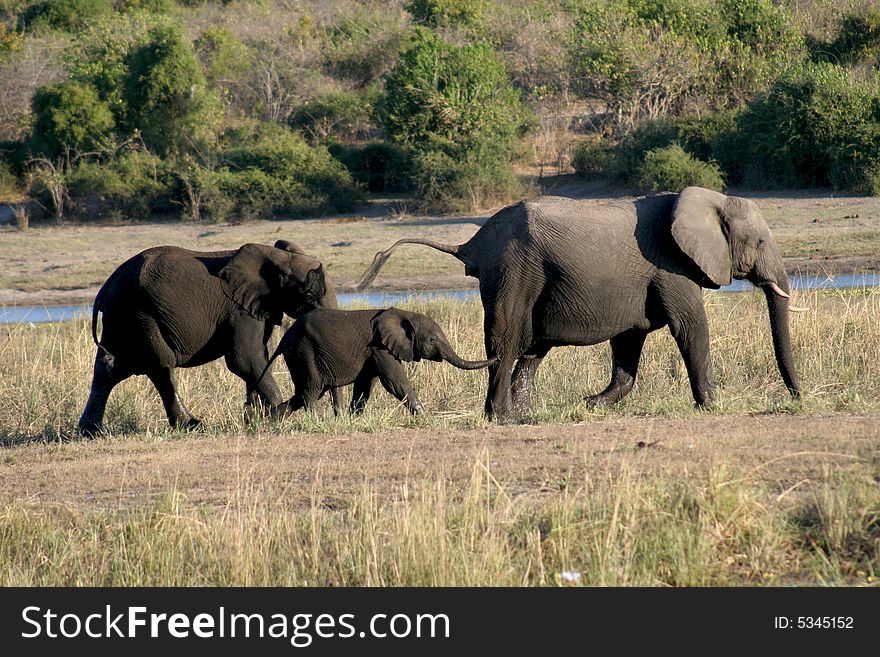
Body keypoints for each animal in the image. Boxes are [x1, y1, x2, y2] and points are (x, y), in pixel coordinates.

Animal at [78, 241, 336, 436]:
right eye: (309, 295)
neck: (280, 258)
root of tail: (106, 286)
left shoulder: (260, 306)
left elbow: (259, 357)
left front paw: (255, 418)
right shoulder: (239, 310)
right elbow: (244, 359)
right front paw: (274, 415)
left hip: (121, 318)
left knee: (110, 367)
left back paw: (91, 432)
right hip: (139, 313)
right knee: (160, 366)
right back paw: (192, 425)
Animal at [260, 306, 496, 416]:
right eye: (432, 340)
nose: (497, 356)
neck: (402, 313)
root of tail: (284, 338)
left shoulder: (373, 352)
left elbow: (366, 386)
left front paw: (352, 418)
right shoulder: (380, 347)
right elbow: (395, 382)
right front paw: (425, 417)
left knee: (303, 393)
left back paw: (271, 419)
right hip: (304, 351)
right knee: (311, 390)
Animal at [358, 186, 804, 420]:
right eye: (759, 241)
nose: (799, 398)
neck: (711, 199)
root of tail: (474, 242)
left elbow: (630, 340)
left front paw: (590, 404)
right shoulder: (672, 266)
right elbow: (690, 325)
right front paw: (712, 406)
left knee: (531, 351)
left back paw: (524, 417)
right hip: (513, 271)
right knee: (506, 341)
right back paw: (500, 418)